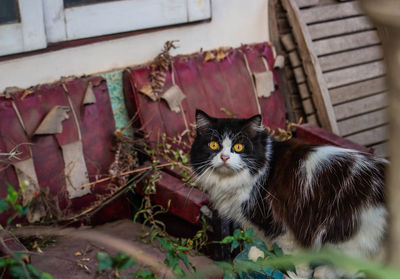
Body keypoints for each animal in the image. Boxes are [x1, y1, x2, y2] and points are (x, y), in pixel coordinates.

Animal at [191, 110, 388, 278]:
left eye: (238, 147)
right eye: (213, 145)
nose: (224, 157)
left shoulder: (286, 227)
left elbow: (293, 260)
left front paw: (291, 274)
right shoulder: (264, 222)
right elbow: (264, 240)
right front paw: (260, 254)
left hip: (345, 235)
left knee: (354, 269)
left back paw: (322, 272)